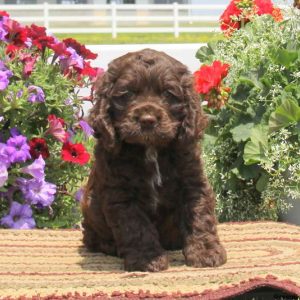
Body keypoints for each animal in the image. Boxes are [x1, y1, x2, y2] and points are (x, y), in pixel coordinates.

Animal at [81, 48, 226, 272]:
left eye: (168, 93)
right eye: (127, 94)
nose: (147, 120)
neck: (151, 149)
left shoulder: (192, 181)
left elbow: (199, 216)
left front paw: (206, 252)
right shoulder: (121, 193)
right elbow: (136, 226)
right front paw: (147, 259)